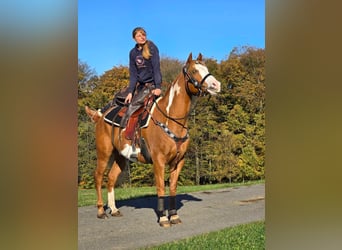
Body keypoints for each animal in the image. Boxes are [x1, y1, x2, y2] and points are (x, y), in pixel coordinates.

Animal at [84, 52, 220, 227]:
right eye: (194, 70)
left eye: (207, 68)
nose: (216, 85)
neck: (170, 118)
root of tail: (100, 116)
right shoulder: (159, 160)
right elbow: (161, 187)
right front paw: (163, 218)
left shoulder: (178, 161)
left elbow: (173, 188)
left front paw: (174, 216)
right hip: (104, 153)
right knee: (98, 177)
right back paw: (101, 211)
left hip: (120, 157)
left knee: (111, 178)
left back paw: (114, 210)